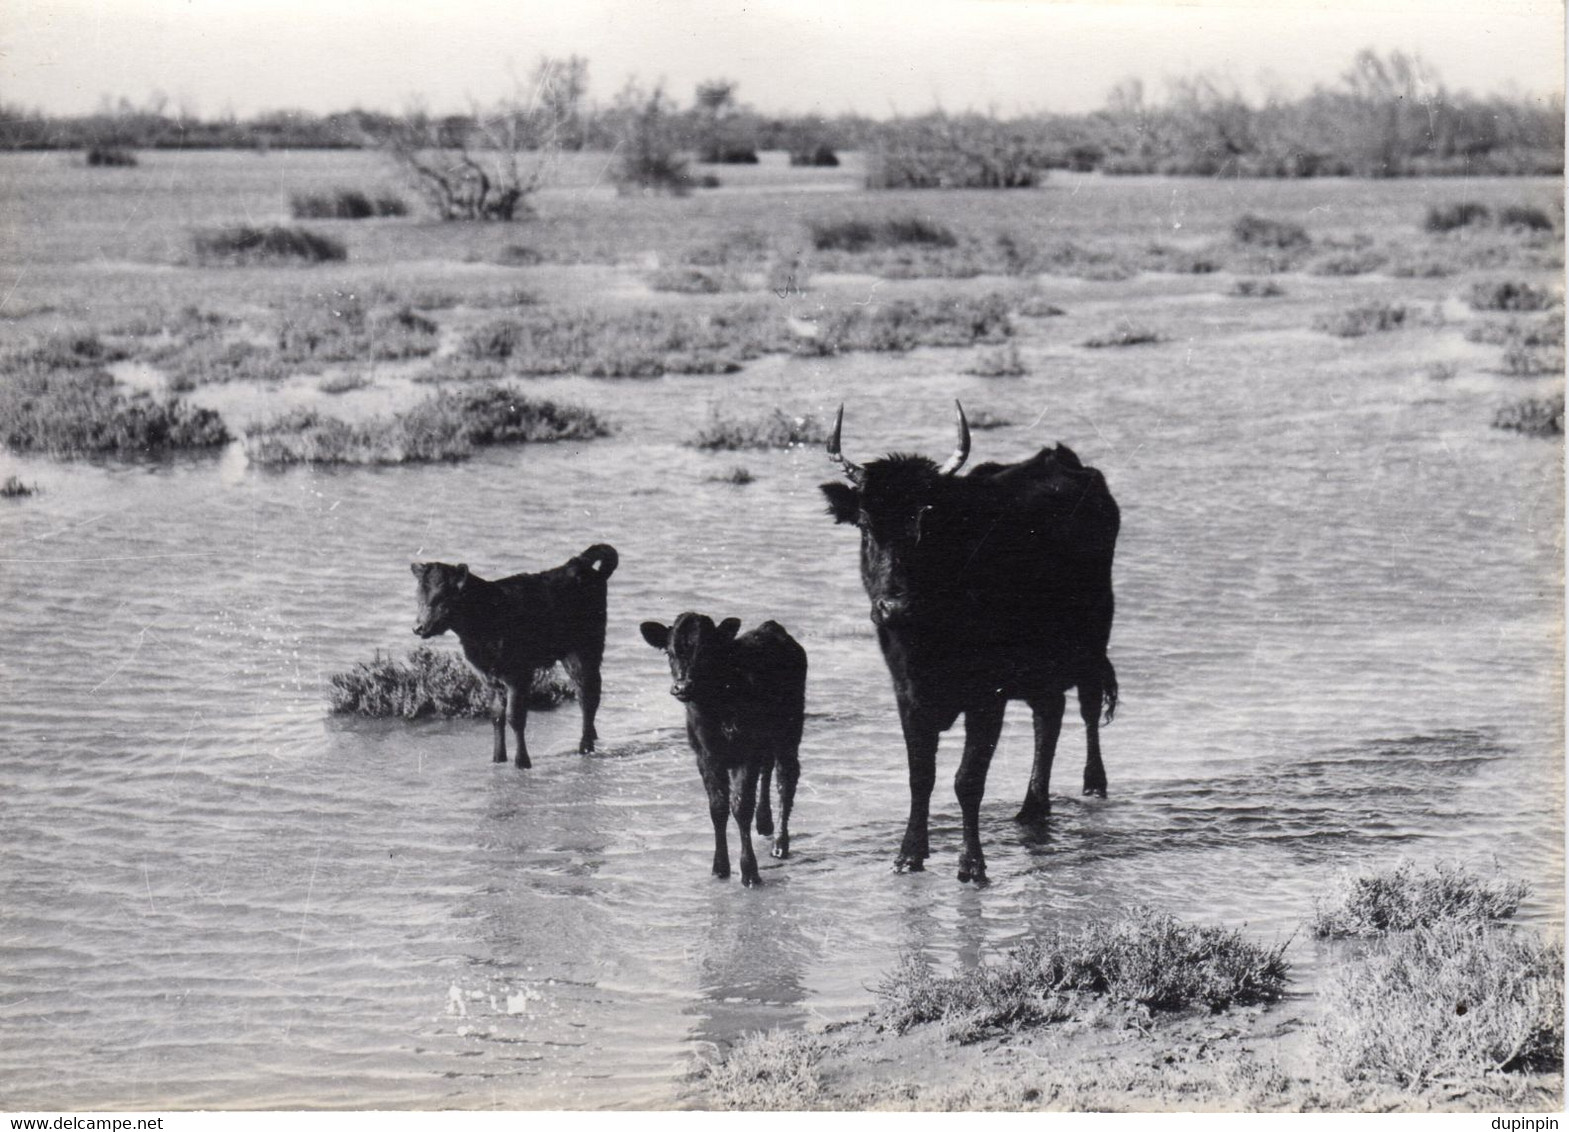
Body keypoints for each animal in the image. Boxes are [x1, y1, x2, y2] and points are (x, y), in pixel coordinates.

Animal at [411, 540, 618, 769]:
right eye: (419, 597)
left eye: (442, 598)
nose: (418, 628)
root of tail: (578, 564)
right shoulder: (489, 677)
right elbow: (497, 716)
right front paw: (498, 758)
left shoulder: (518, 674)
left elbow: (515, 717)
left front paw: (522, 761)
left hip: (585, 650)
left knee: (588, 695)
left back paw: (585, 746)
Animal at [640, 612, 809, 885]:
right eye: (669, 651)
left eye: (706, 651)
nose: (682, 686)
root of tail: (771, 627)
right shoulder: (706, 756)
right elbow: (717, 808)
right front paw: (719, 867)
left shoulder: (745, 754)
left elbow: (741, 806)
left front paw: (749, 871)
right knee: (767, 768)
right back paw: (764, 822)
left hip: (789, 730)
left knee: (786, 778)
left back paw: (780, 844)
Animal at [822, 401, 1117, 885]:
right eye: (865, 525)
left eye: (927, 524)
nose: (894, 607)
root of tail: (1058, 459)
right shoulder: (908, 696)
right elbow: (920, 776)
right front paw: (909, 855)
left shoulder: (986, 698)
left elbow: (968, 780)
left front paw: (972, 864)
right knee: (1048, 716)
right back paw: (1033, 807)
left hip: (1093, 638)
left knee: (1087, 708)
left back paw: (1093, 783)